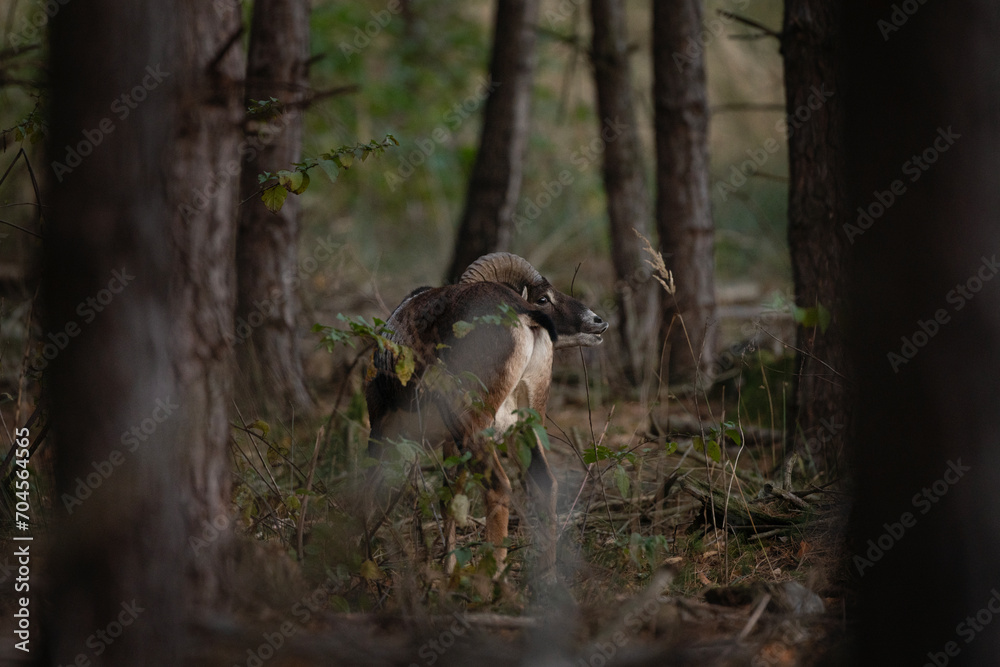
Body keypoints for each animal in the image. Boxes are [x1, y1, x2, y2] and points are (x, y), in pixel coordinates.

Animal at [365, 252, 608, 574]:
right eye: (543, 298)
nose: (598, 322)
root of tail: (522, 316)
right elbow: (448, 499)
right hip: (525, 426)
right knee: (544, 485)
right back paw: (547, 576)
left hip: (475, 429)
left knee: (498, 489)